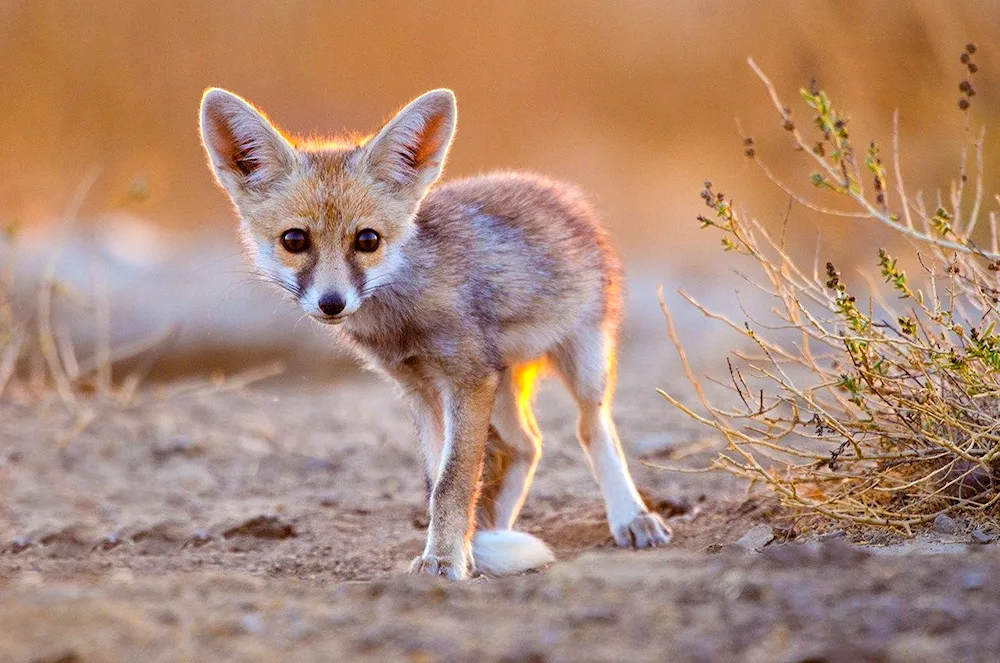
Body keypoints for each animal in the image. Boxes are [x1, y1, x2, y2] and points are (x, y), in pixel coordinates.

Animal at [198, 85, 668, 580]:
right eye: (294, 240)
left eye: (367, 240)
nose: (331, 303)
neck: (402, 315)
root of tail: (559, 191)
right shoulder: (421, 389)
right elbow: (438, 482)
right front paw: (462, 550)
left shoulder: (467, 380)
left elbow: (453, 480)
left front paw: (445, 559)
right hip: (501, 384)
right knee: (525, 446)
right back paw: (492, 535)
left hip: (583, 362)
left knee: (592, 430)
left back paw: (631, 517)